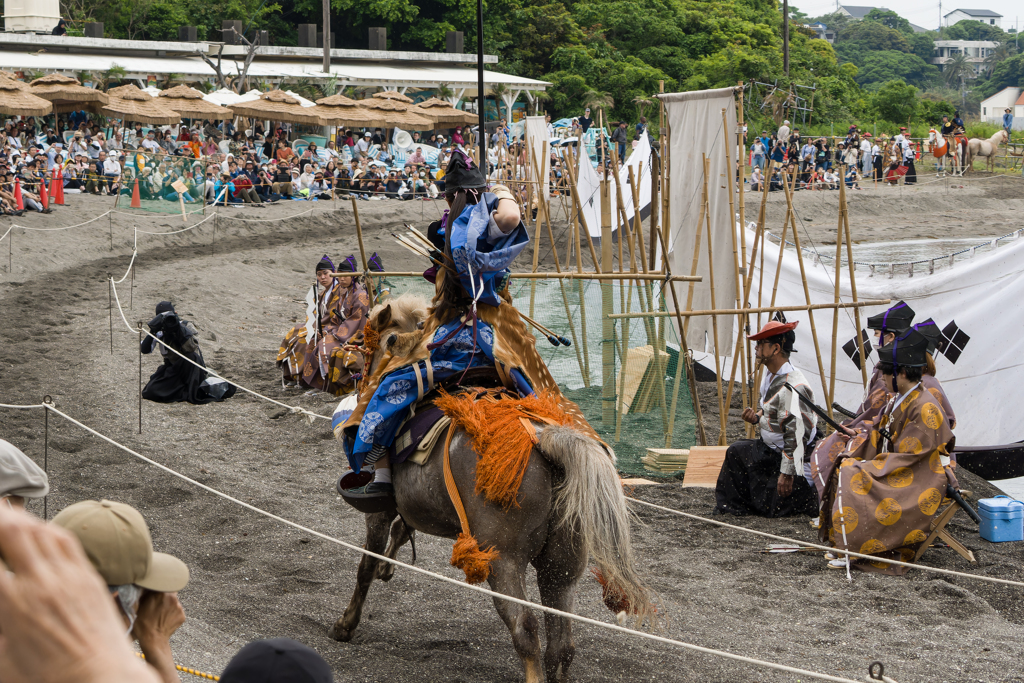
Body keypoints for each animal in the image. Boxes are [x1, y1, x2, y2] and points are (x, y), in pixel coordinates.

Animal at [327, 290, 647, 679]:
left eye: (373, 342)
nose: (358, 375)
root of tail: (546, 440)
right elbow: (402, 532)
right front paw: (390, 566)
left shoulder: (379, 512)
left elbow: (366, 567)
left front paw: (346, 623)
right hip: (561, 567)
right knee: (562, 644)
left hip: (503, 562)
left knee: (526, 629)